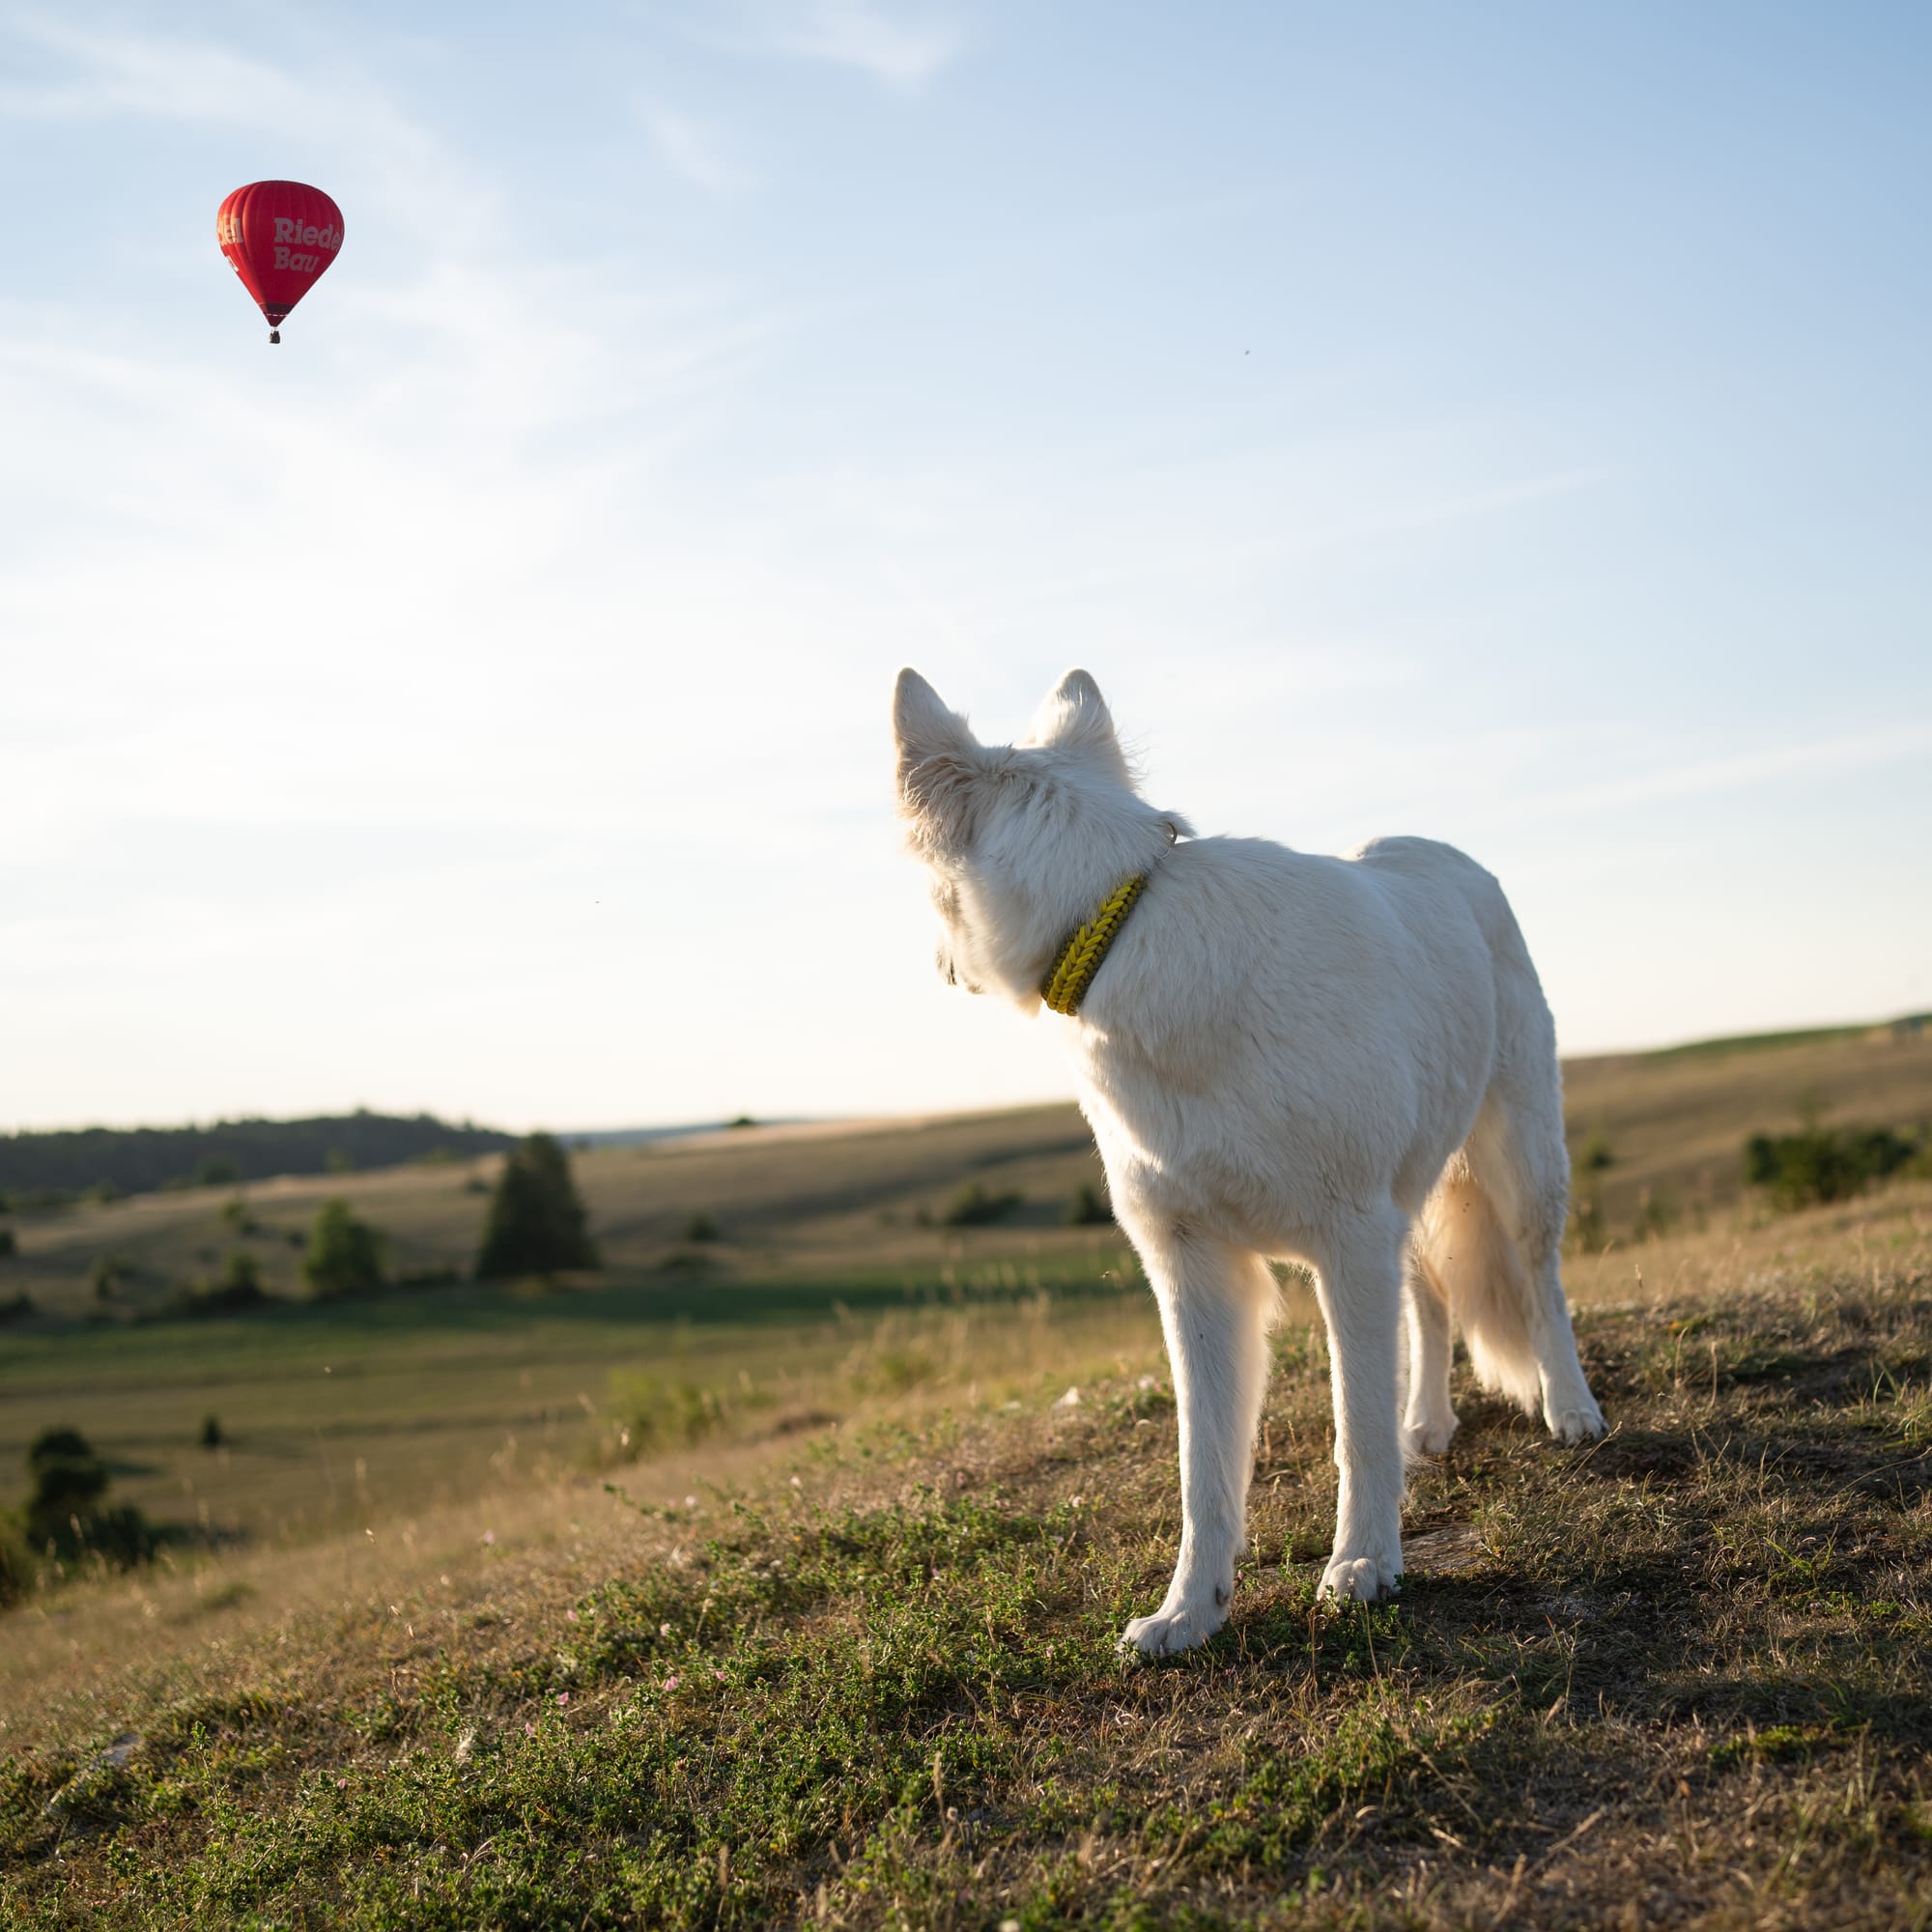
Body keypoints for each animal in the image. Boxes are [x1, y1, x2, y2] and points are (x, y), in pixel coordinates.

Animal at [896, 668, 1607, 1662]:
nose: (933, 965)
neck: (1123, 920)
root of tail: (1442, 851)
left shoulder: (1348, 1238)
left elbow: (1354, 1429)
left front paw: (1363, 1564)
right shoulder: (1198, 1271)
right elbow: (1205, 1470)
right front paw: (1190, 1611)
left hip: (1519, 1162)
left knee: (1540, 1283)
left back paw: (1569, 1407)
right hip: (1409, 1204)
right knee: (1429, 1303)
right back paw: (1428, 1422)